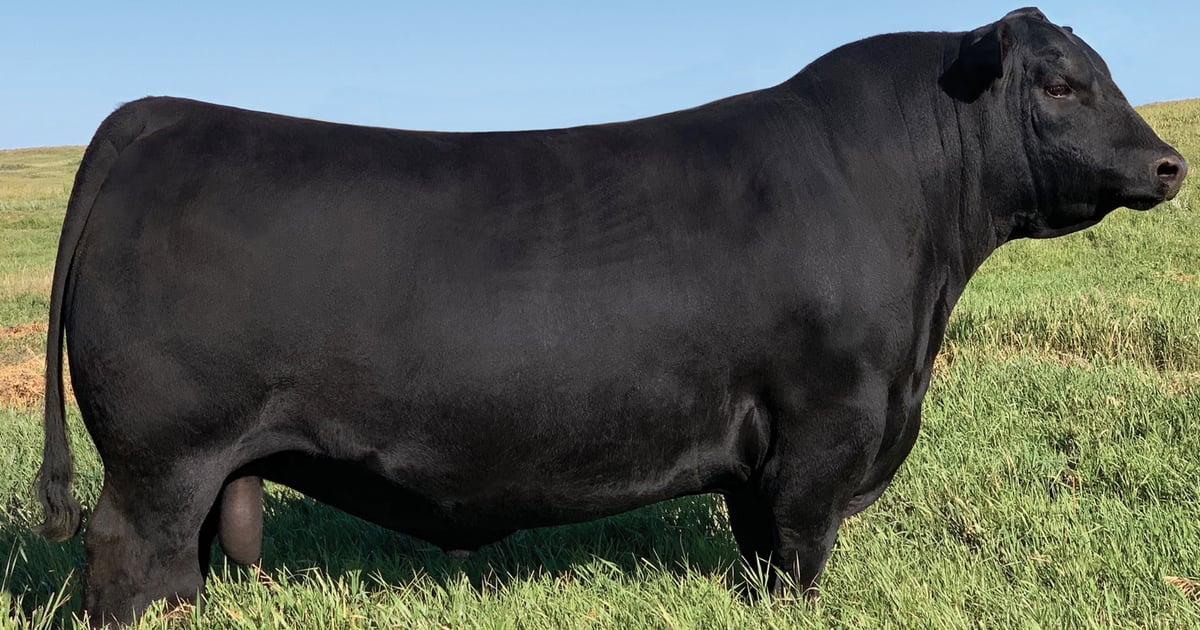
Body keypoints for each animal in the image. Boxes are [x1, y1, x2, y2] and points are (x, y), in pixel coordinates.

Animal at [35, 7, 1185, 625]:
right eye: (1062, 84)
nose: (1171, 163)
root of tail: (159, 114)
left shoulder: (772, 451)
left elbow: (757, 548)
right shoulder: (825, 428)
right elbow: (795, 558)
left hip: (201, 465)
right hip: (161, 457)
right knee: (127, 560)